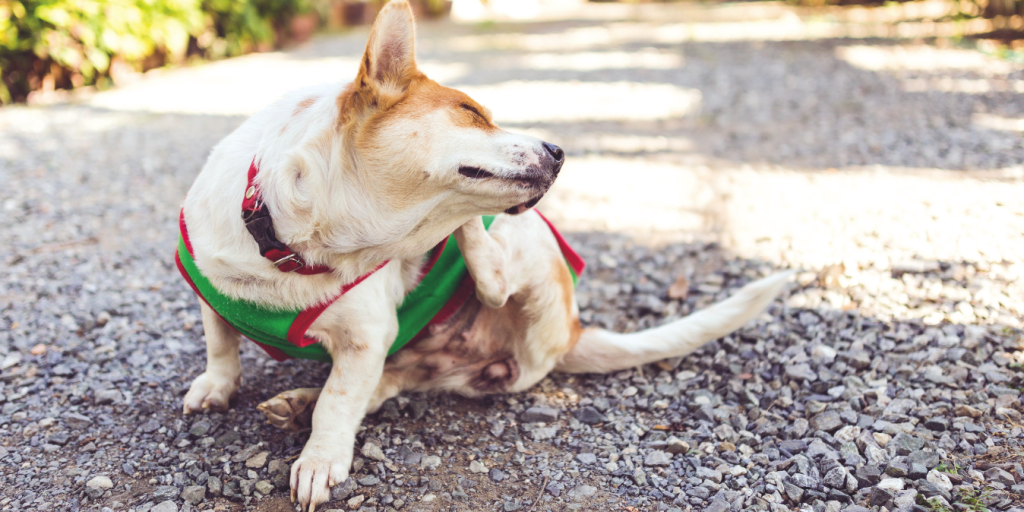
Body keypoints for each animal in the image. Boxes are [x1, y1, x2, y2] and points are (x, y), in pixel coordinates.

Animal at [176, 2, 790, 509]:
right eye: (472, 111)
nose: (559, 151)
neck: (294, 244)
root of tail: (573, 329)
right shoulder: (212, 287)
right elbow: (220, 342)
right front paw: (217, 386)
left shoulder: (366, 337)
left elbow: (340, 402)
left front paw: (321, 458)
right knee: (388, 383)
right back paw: (299, 400)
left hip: (530, 243)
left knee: (491, 278)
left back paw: (464, 234)